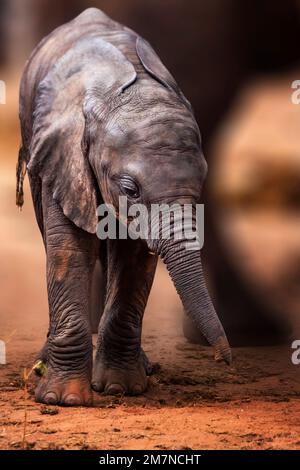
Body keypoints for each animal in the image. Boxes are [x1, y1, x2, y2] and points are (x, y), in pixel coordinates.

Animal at [16, 7, 231, 406]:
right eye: (130, 189)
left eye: (201, 186)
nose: (225, 360)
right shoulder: (64, 155)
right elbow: (69, 251)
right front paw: (64, 400)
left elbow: (133, 258)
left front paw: (121, 388)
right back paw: (42, 366)